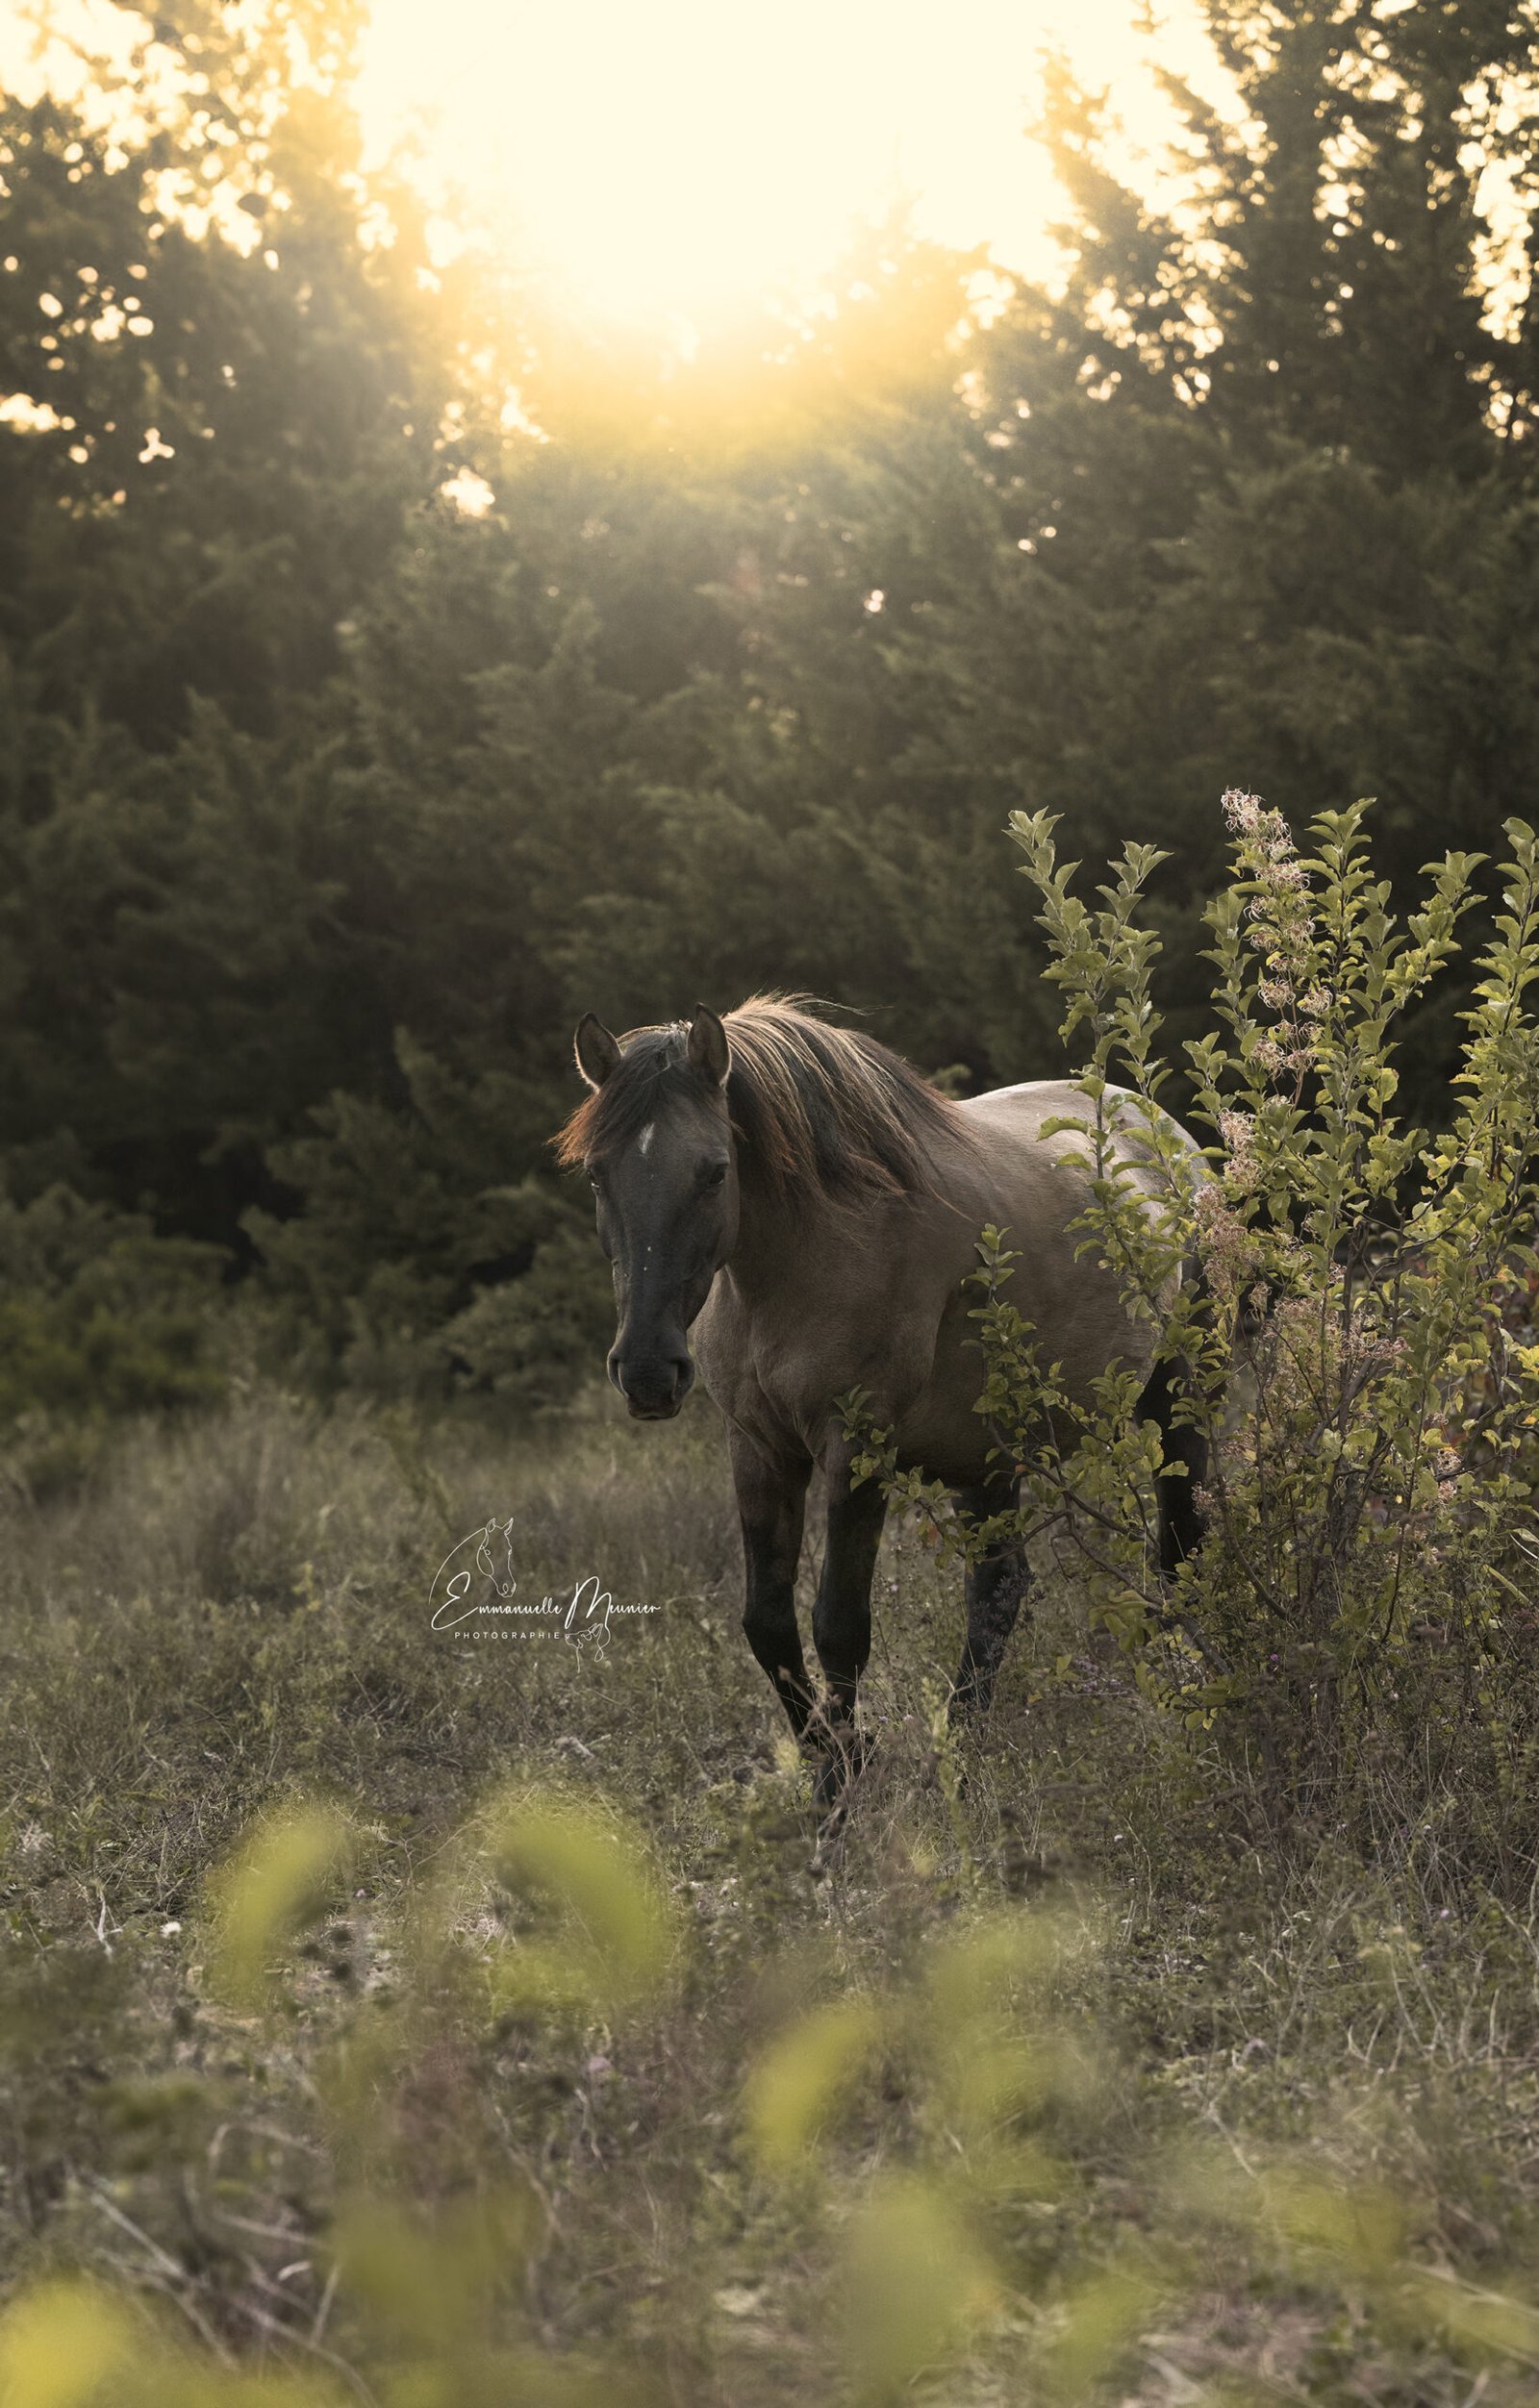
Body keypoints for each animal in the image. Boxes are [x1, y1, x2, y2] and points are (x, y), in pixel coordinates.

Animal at [553, 987, 1203, 1800]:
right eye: (597, 1176)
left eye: (713, 1172)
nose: (646, 1372)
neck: (805, 1256)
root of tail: (1166, 1132)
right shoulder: (758, 1449)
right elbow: (767, 1624)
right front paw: (834, 1763)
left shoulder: (856, 1448)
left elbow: (838, 1624)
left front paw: (842, 1782)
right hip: (987, 1455)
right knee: (998, 1589)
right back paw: (963, 1752)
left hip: (1180, 1394)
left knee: (1178, 1544)